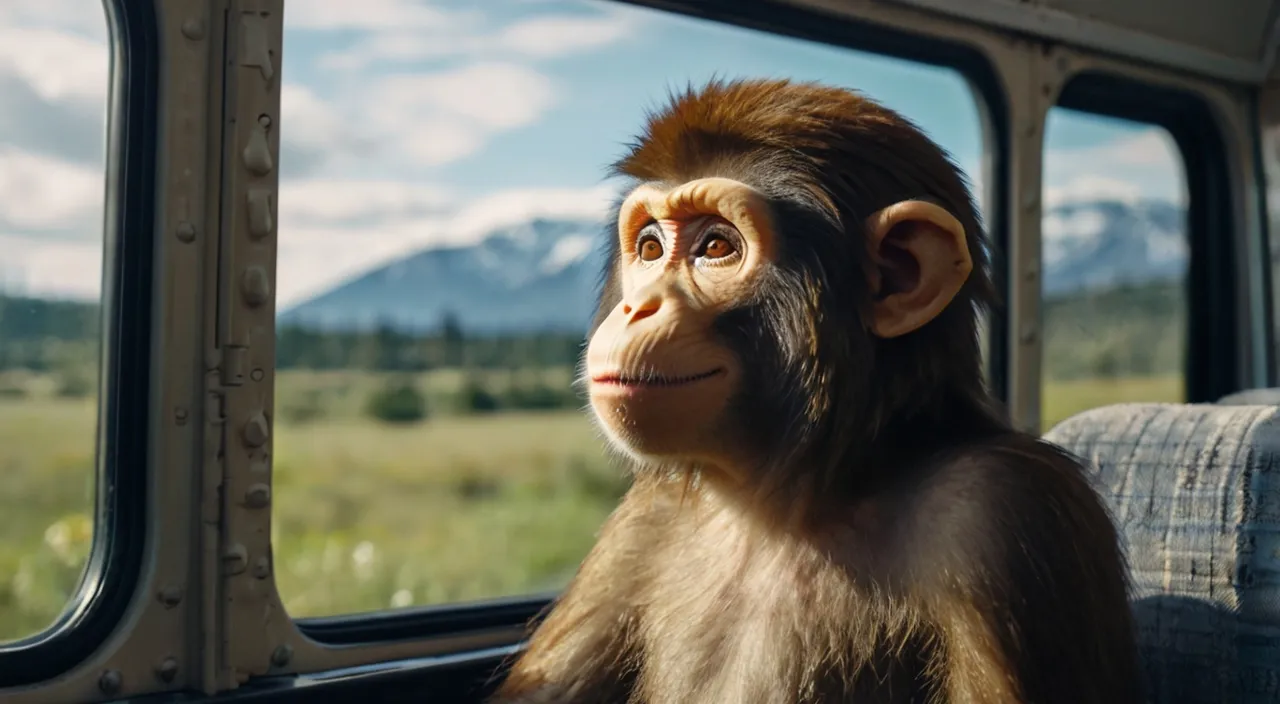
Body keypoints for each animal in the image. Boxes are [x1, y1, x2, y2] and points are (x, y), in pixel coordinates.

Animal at [488, 78, 1141, 704]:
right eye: (649, 249)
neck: (793, 497)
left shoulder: (1005, 512)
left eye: (716, 247)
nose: (637, 306)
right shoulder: (640, 520)